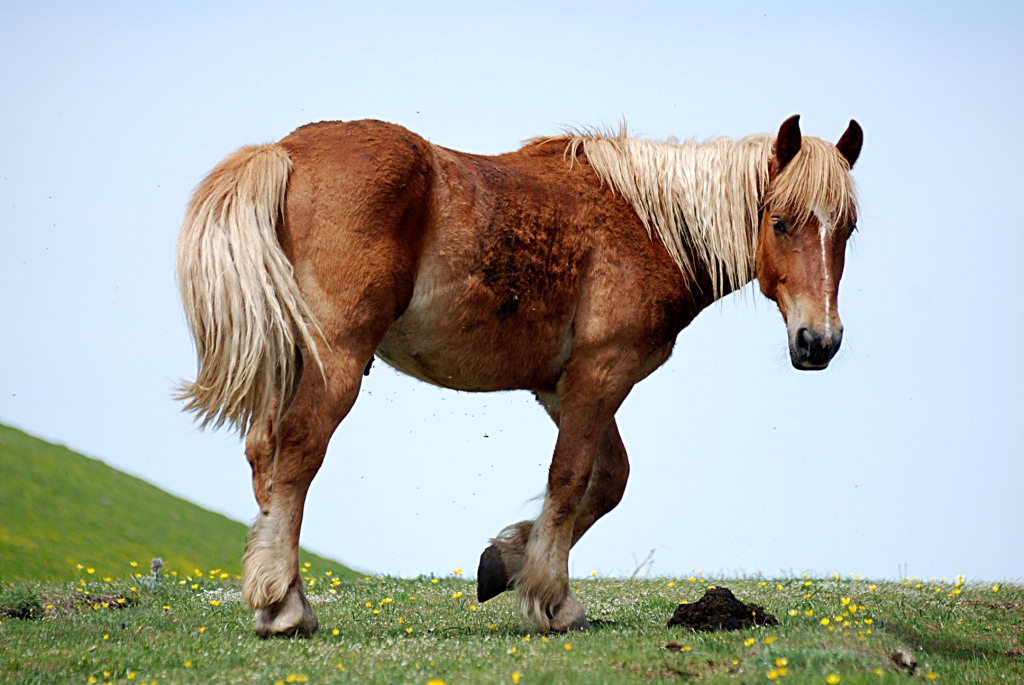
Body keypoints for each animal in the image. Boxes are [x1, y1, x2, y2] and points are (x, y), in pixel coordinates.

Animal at [176, 114, 862, 637]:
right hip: (336, 358)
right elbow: (570, 479)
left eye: (848, 229)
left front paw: (505, 562)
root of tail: (286, 152)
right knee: (295, 454)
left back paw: (281, 594)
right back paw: (283, 607)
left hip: (292, 357)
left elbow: (608, 480)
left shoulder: (564, 387)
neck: (646, 225)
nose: (819, 342)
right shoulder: (599, 375)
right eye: (780, 221)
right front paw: (551, 599)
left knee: (265, 454)